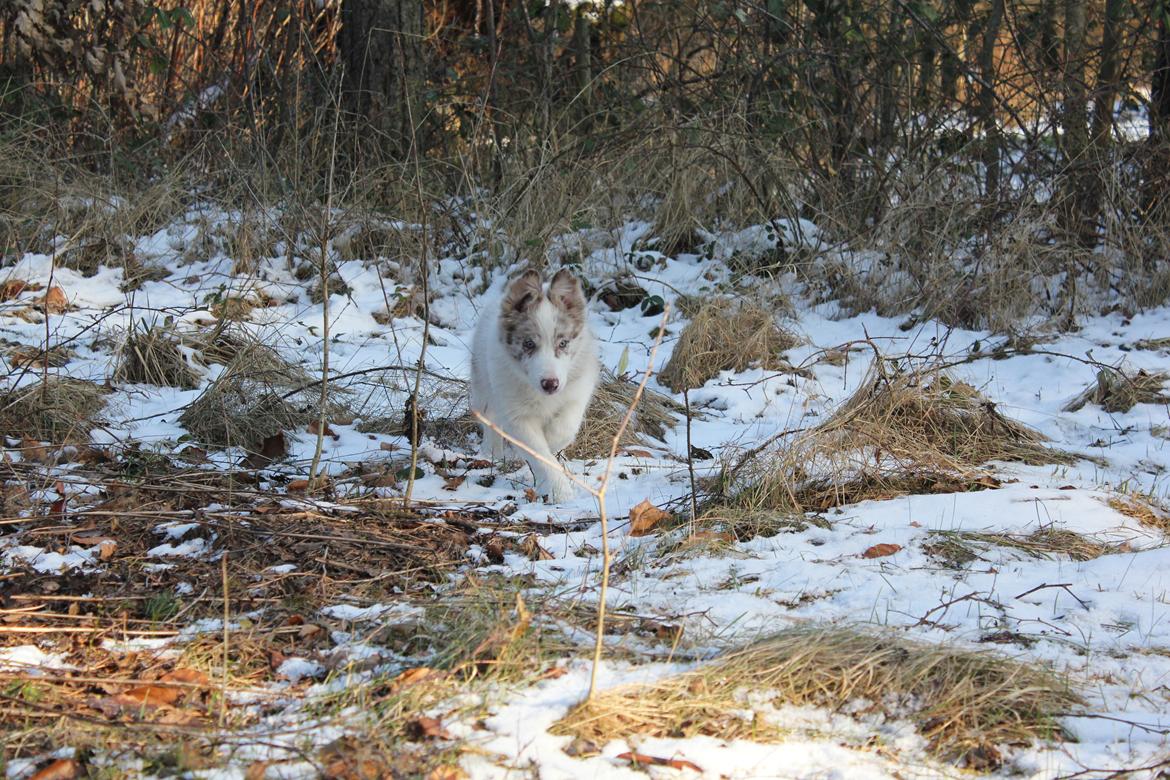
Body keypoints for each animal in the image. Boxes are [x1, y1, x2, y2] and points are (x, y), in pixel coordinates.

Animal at [470, 268, 599, 500]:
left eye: (563, 343)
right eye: (528, 344)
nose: (550, 384)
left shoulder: (577, 392)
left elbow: (564, 429)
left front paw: (552, 442)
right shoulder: (517, 415)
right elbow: (539, 453)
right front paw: (559, 491)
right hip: (482, 385)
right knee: (488, 417)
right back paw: (492, 452)